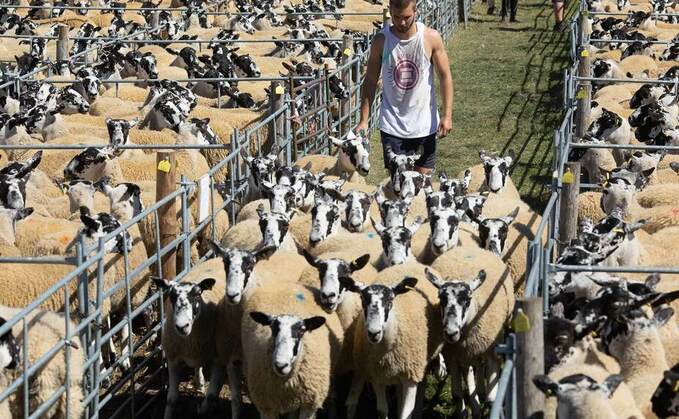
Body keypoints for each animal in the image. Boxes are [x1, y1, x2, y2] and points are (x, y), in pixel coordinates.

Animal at [242, 280, 346, 419]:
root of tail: (288, 283)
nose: (280, 365)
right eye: (273, 329)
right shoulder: (266, 406)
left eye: (302, 331)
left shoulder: (309, 405)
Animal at [342, 262, 444, 419]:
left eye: (390, 300)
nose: (374, 333)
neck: (385, 354)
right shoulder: (377, 376)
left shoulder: (410, 376)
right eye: (363, 299)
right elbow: (382, 410)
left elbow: (406, 413)